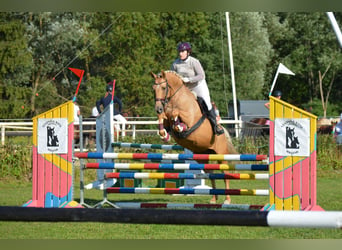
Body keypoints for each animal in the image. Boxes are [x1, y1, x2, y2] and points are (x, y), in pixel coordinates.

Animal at [151, 69, 239, 204]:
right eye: (153, 89)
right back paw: (214, 198)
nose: (158, 108)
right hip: (202, 156)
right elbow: (165, 119)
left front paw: (178, 125)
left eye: (164, 87)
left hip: (220, 153)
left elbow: (175, 113)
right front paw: (164, 134)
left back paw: (227, 200)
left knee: (224, 174)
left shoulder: (189, 118)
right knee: (211, 173)